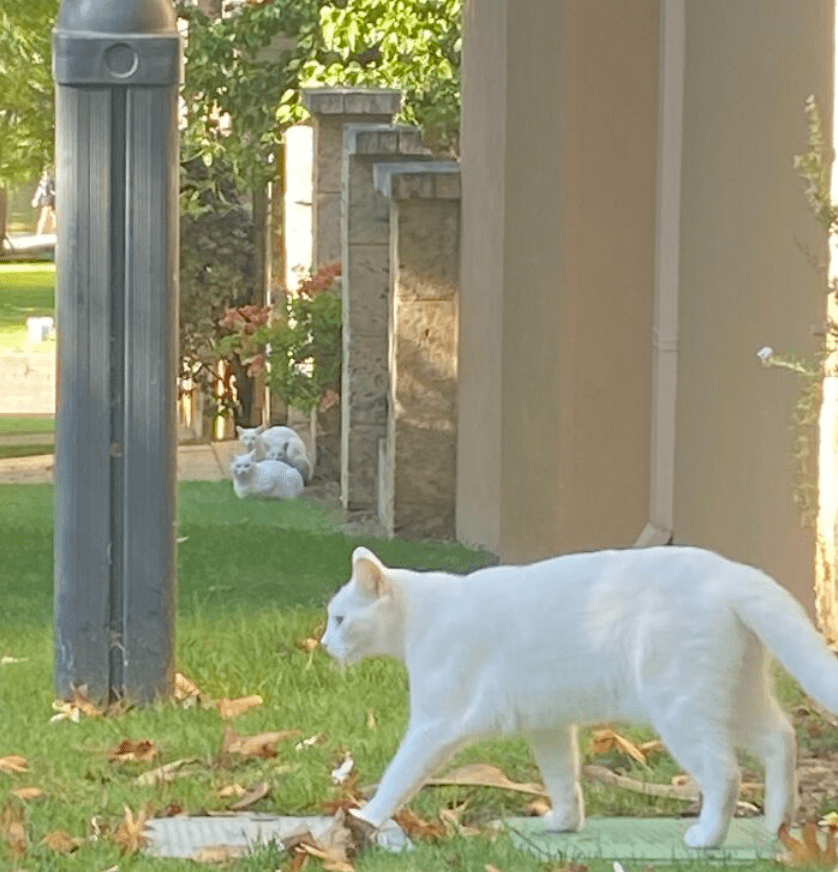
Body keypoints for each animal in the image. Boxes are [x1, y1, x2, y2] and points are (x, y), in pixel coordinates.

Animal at [318, 548, 838, 848]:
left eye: (340, 619)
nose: (323, 644)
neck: (422, 617)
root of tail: (731, 571)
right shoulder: (548, 726)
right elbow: (562, 778)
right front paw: (563, 823)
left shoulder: (434, 724)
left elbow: (397, 776)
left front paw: (362, 820)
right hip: (734, 699)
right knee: (781, 740)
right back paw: (775, 824)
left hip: (683, 708)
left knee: (725, 774)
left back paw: (708, 837)